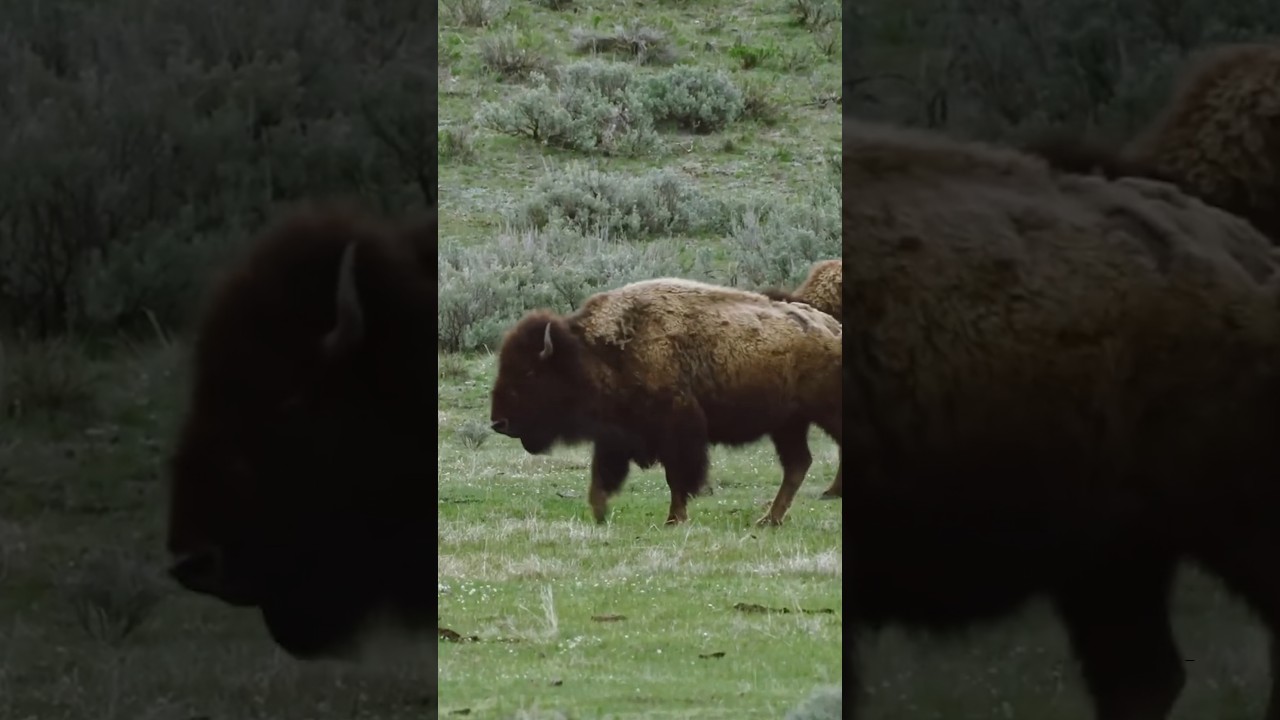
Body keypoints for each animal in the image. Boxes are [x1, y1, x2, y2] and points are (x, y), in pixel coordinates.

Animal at [489, 278, 842, 526]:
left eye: (530, 372)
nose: (498, 422)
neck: (596, 353)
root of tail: (833, 328)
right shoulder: (616, 435)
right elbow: (601, 477)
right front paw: (600, 514)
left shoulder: (677, 430)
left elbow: (677, 477)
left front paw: (675, 519)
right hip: (788, 424)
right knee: (797, 464)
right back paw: (770, 519)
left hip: (821, 415)